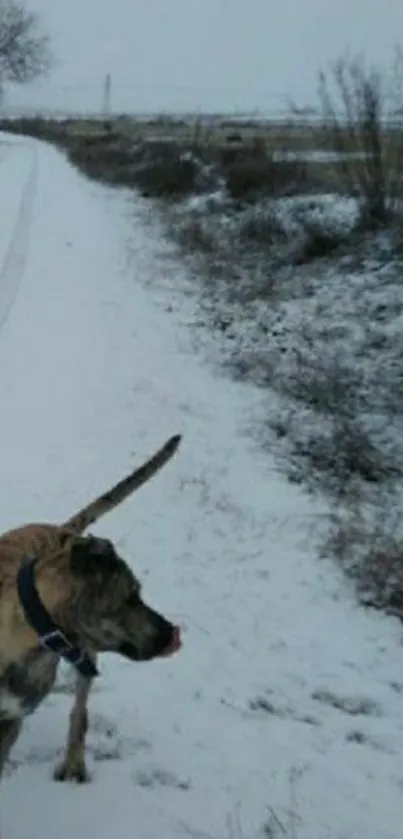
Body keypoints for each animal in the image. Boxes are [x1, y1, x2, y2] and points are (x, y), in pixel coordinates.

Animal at [0, 434, 183, 788]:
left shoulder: (11, 720)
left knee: (80, 713)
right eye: (131, 596)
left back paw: (74, 763)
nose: (172, 632)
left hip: (87, 657)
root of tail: (63, 531)